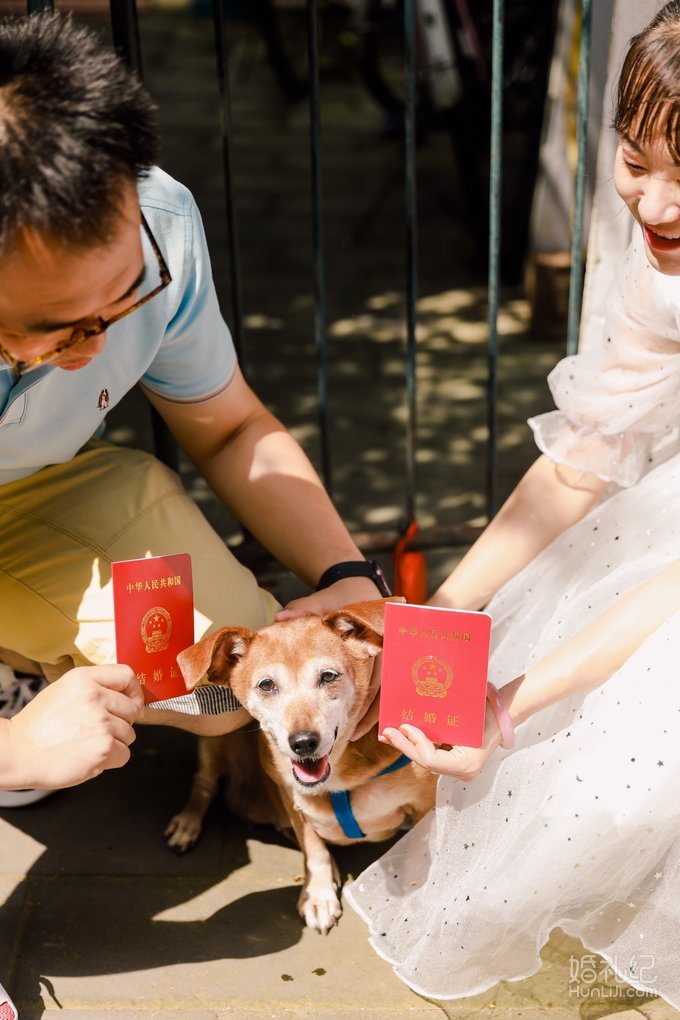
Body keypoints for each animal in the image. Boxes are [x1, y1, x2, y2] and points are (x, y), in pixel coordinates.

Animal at [167, 595, 434, 934]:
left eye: (329, 676)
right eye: (266, 685)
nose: (303, 742)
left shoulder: (427, 804)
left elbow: (419, 851)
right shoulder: (293, 802)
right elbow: (313, 850)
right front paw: (318, 896)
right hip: (214, 736)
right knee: (204, 782)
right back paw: (186, 824)